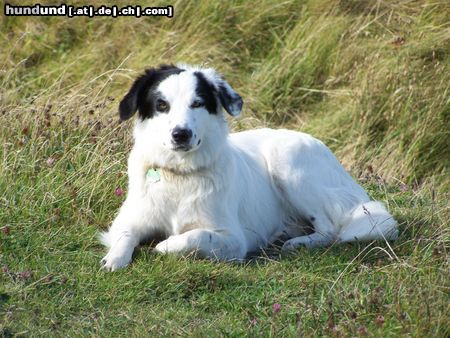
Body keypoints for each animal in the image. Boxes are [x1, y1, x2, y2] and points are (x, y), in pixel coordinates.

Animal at [100, 64, 400, 272]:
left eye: (197, 103)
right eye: (161, 105)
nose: (180, 134)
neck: (180, 175)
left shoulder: (233, 239)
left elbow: (193, 236)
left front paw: (164, 245)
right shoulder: (130, 219)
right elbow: (125, 235)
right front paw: (114, 258)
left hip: (287, 162)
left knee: (330, 229)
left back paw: (298, 243)